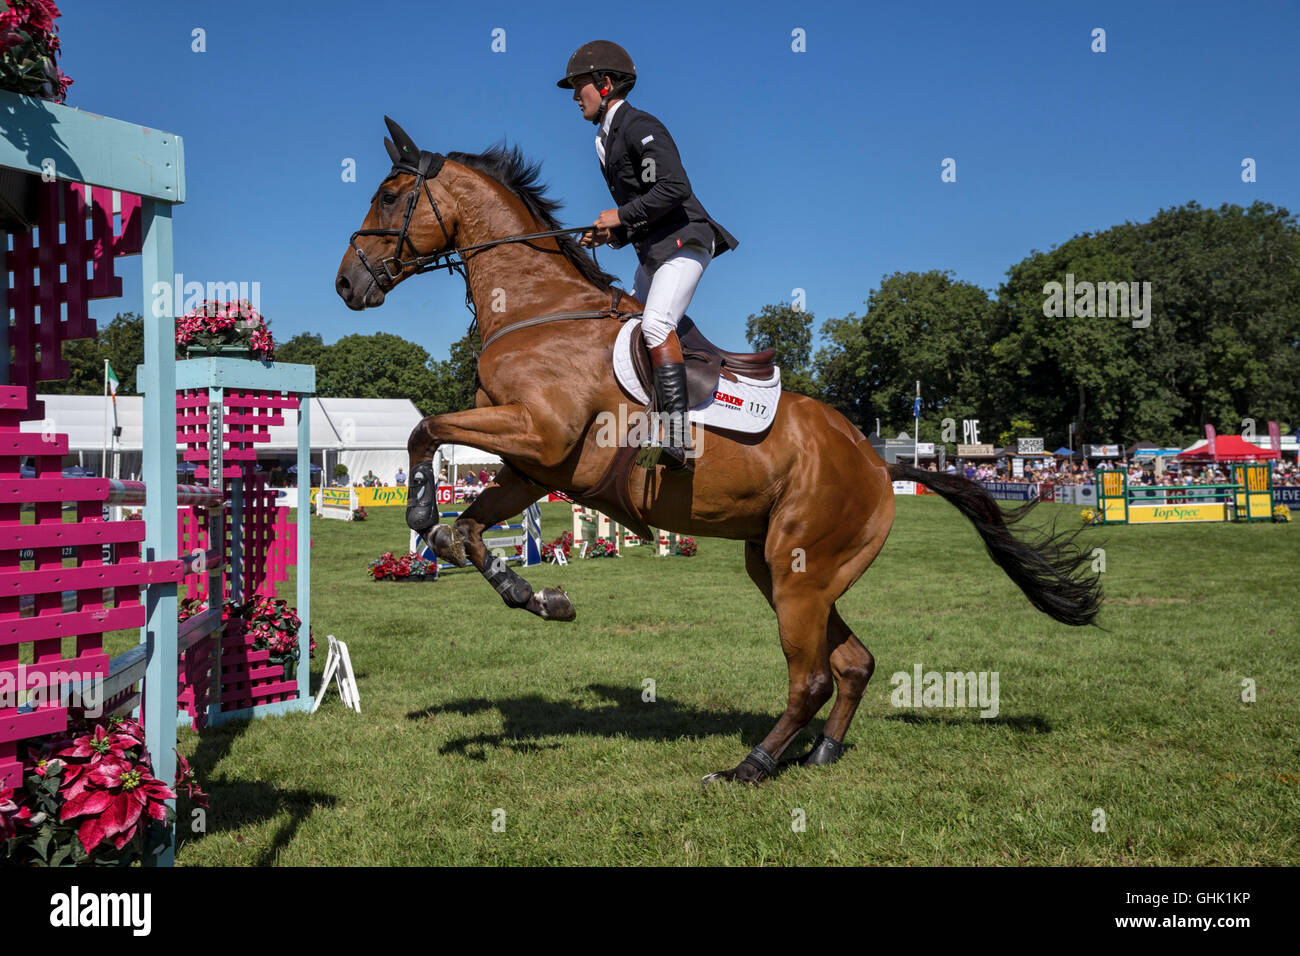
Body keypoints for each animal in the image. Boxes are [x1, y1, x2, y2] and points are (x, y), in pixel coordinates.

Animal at [332, 119, 1097, 785]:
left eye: (390, 196)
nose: (347, 283)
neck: (535, 309)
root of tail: (879, 461)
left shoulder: (538, 433)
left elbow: (424, 432)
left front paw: (423, 511)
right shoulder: (532, 468)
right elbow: (465, 528)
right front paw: (538, 595)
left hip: (800, 573)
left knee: (812, 676)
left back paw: (749, 767)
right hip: (787, 569)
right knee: (852, 662)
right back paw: (819, 754)